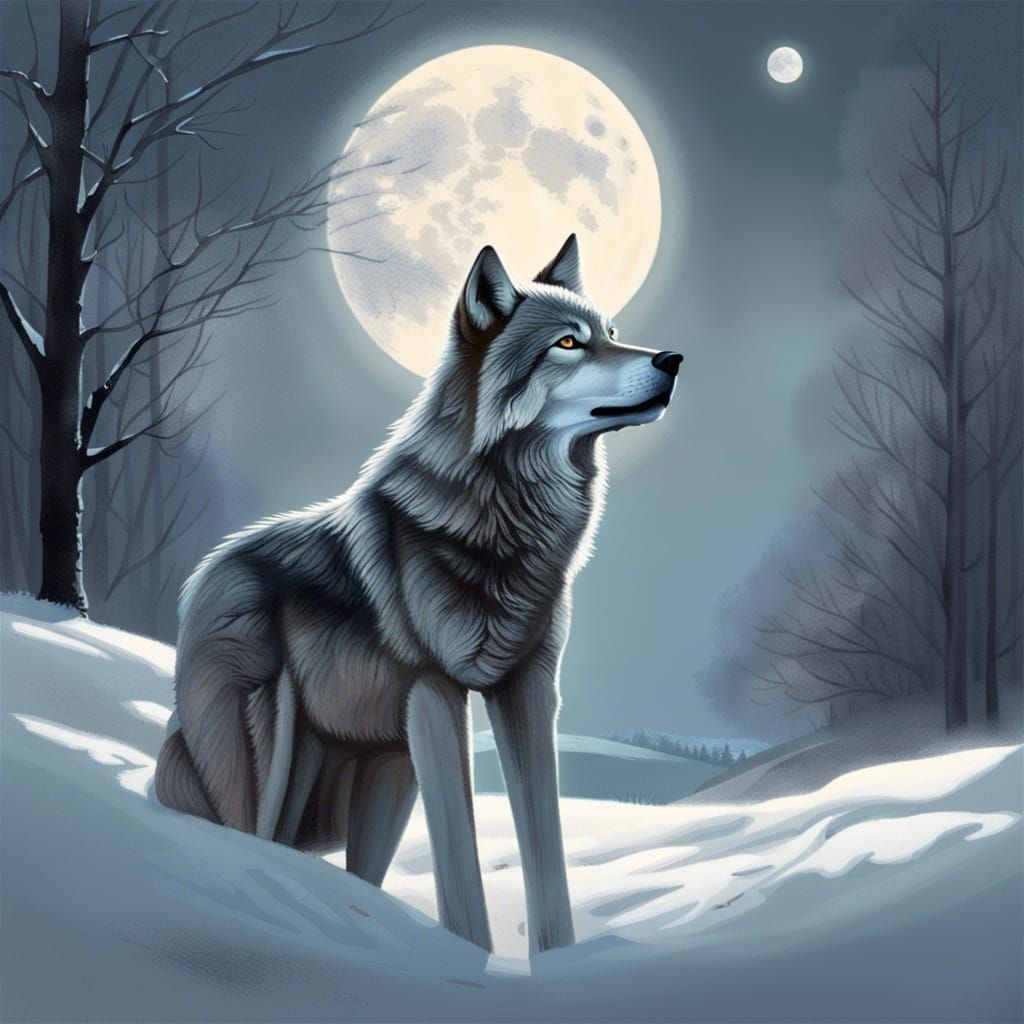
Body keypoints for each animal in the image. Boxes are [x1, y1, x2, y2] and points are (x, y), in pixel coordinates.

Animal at [154, 234, 682, 955]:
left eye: (612, 335)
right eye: (568, 344)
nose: (672, 360)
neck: (501, 515)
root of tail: (203, 574)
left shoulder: (529, 688)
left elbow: (547, 851)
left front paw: (561, 962)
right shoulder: (435, 691)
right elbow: (458, 866)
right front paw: (476, 958)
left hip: (382, 778)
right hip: (268, 768)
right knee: (247, 844)